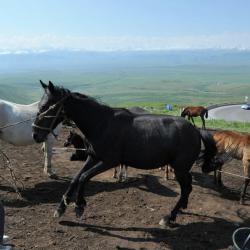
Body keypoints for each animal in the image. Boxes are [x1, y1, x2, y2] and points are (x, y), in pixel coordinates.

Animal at [32, 80, 220, 227]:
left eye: (45, 107)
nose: (35, 134)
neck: (101, 123)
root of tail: (196, 131)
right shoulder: (93, 157)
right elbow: (76, 178)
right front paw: (60, 208)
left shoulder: (109, 161)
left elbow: (84, 177)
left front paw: (79, 206)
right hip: (182, 169)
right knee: (187, 187)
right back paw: (182, 208)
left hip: (179, 168)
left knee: (186, 187)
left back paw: (170, 216)